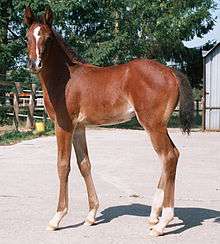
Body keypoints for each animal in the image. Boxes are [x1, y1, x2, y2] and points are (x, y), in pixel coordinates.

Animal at [23, 7, 193, 236]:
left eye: (48, 38)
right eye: (27, 37)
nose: (35, 64)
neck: (65, 80)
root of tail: (170, 71)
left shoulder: (64, 126)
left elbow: (63, 165)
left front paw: (57, 217)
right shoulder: (79, 128)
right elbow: (84, 164)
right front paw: (91, 215)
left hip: (152, 125)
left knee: (169, 156)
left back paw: (162, 223)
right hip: (159, 125)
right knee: (170, 156)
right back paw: (154, 215)